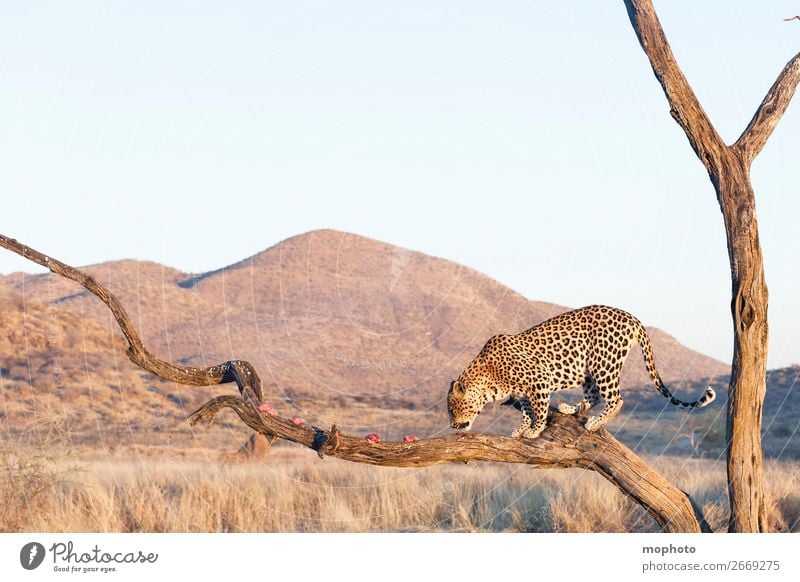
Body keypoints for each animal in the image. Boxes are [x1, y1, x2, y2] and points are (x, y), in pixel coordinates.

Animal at [446, 308, 716, 440]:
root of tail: (632, 317)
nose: (452, 425)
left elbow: (539, 410)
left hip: (603, 363)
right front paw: (521, 429)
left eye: (452, 409)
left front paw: (535, 430)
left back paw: (595, 423)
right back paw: (572, 409)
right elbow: (526, 410)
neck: (489, 380)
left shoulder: (539, 380)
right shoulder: (522, 392)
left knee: (616, 399)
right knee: (593, 396)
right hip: (588, 371)